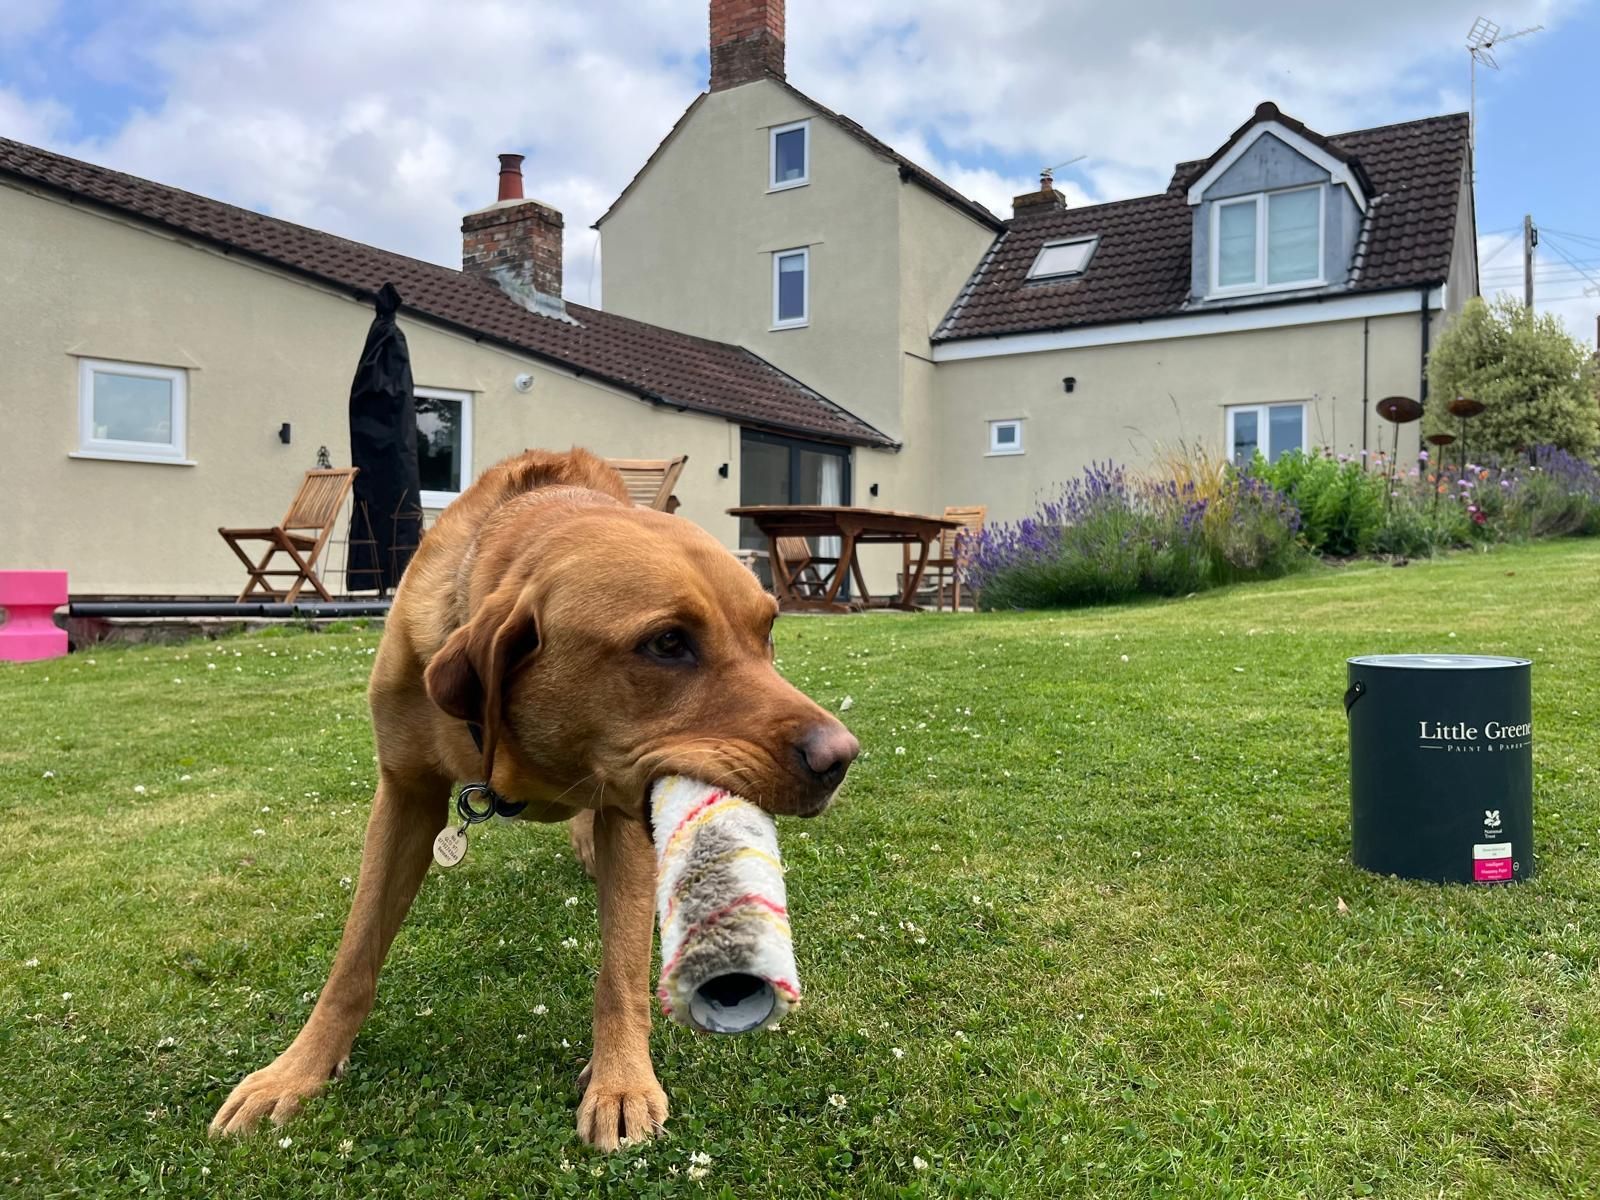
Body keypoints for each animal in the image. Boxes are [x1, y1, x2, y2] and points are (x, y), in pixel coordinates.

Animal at [209, 448, 859, 1150]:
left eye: (768, 631)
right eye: (666, 642)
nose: (842, 758)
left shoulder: (626, 812)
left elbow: (620, 970)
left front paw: (621, 1082)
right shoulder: (405, 795)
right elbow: (353, 959)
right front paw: (296, 1071)